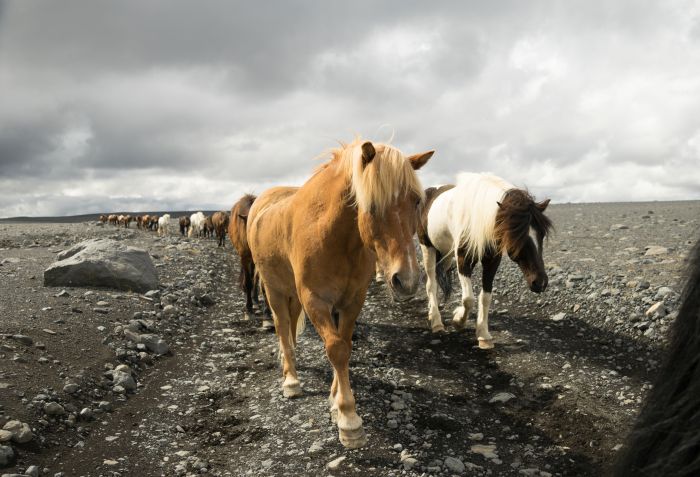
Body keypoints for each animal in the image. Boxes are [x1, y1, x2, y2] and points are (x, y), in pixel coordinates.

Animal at [246, 137, 432, 446]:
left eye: (416, 200)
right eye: (372, 204)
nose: (407, 280)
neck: (334, 236)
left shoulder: (352, 301)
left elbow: (345, 345)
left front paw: (335, 403)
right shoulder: (316, 300)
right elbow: (336, 349)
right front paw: (348, 418)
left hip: (293, 294)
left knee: (290, 326)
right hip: (274, 290)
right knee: (282, 326)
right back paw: (291, 379)